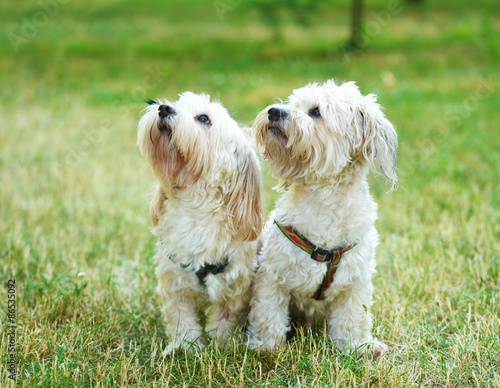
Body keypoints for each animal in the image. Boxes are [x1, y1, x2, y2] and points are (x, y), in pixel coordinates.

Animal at [135, 92, 264, 354]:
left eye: (203, 118)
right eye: (175, 104)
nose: (163, 108)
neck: (195, 210)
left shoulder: (231, 286)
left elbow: (223, 320)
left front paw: (221, 346)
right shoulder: (174, 280)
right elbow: (181, 317)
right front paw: (186, 348)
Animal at [247, 79, 398, 358]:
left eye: (315, 111)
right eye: (292, 104)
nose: (274, 111)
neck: (323, 199)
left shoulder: (355, 282)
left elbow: (353, 318)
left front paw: (358, 346)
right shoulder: (271, 276)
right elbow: (267, 313)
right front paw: (265, 347)